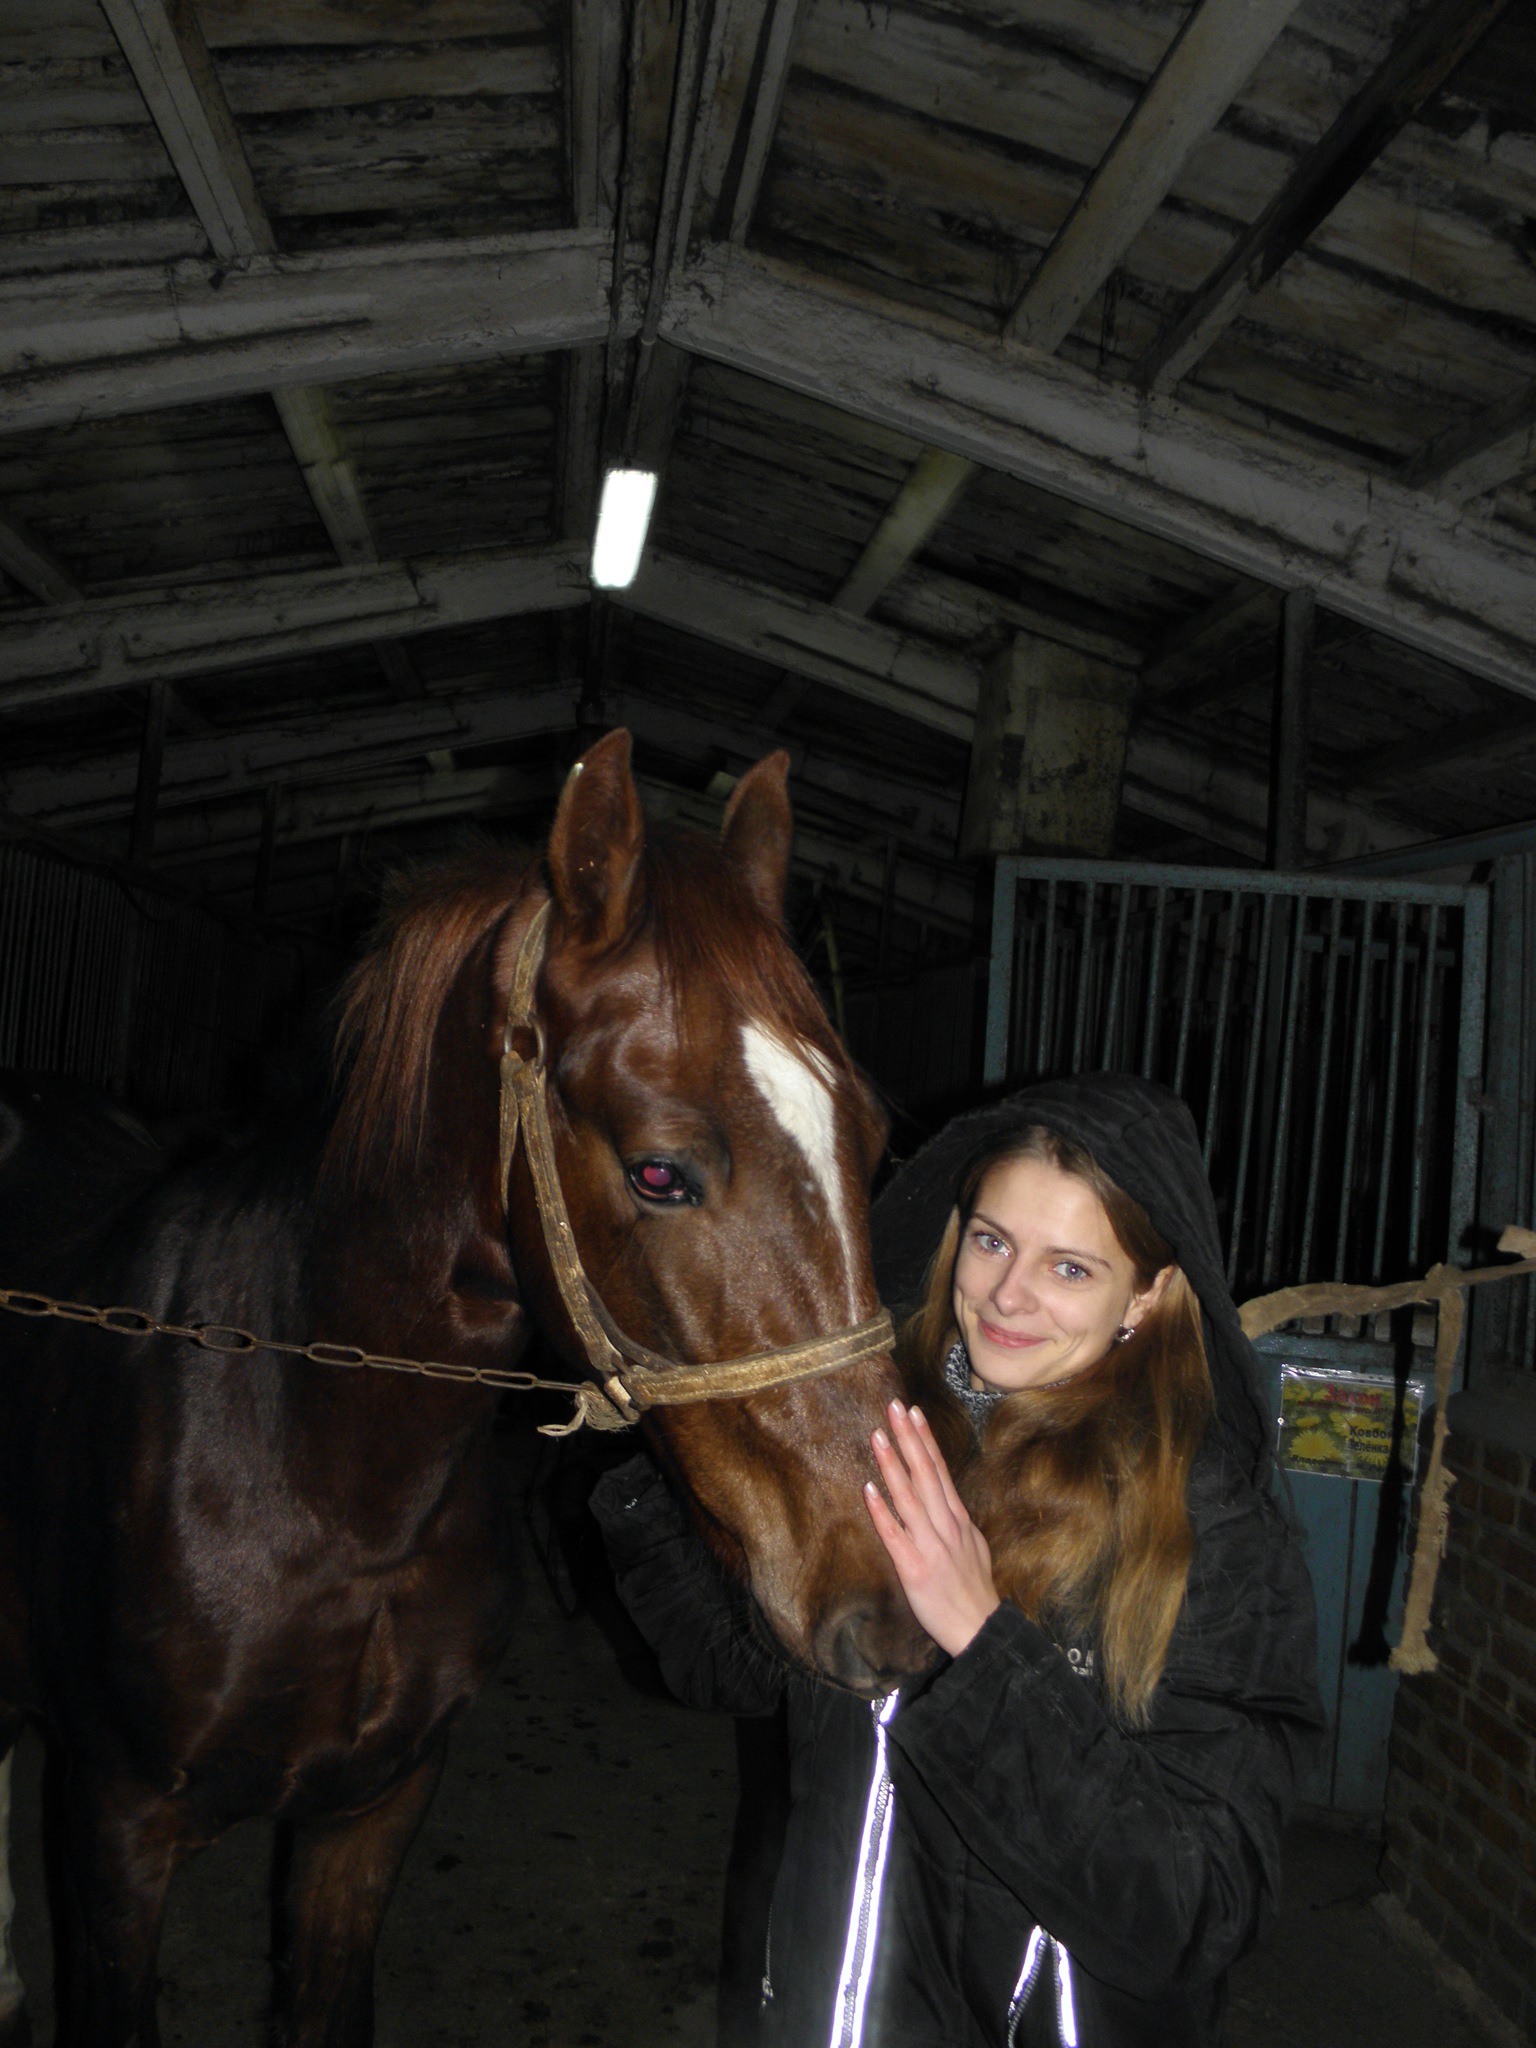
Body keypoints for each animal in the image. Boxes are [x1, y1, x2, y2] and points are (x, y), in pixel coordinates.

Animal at [0, 730, 931, 2048]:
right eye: (660, 1170)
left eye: (872, 1135)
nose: (900, 1605)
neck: (327, 1484)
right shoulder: (112, 1825)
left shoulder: (375, 1809)